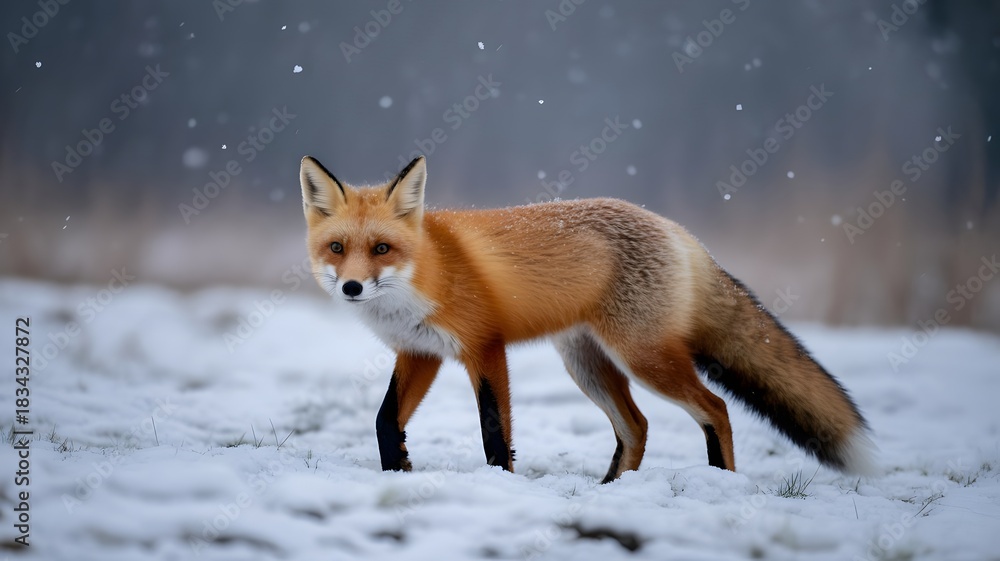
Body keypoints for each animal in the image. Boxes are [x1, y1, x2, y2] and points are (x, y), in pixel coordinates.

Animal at [299, 154, 875, 483]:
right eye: (337, 248)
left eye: (381, 248)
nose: (351, 287)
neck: (428, 270)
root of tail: (677, 229)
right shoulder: (420, 352)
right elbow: (384, 421)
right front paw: (397, 470)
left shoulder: (484, 347)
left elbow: (493, 430)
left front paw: (500, 484)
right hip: (588, 365)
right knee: (637, 426)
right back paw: (612, 490)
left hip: (643, 358)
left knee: (715, 408)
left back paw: (721, 483)